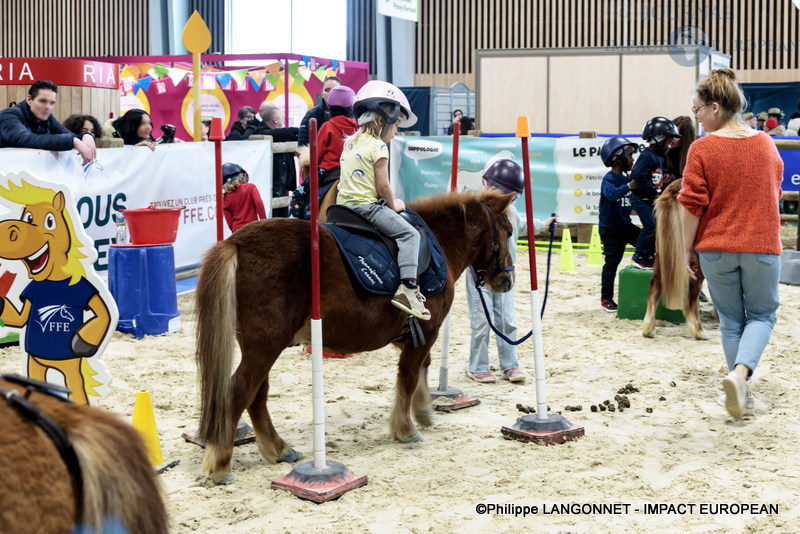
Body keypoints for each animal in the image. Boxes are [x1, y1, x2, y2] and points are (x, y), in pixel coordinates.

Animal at [197, 189, 516, 486]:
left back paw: (278, 449)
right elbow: (409, 376)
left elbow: (421, 370)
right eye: (510, 232)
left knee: (257, 395)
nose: (507, 281)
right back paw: (222, 464)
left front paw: (423, 409)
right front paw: (406, 429)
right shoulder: (427, 331)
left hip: (260, 347)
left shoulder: (418, 334)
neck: (439, 242)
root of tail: (235, 243)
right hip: (265, 347)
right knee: (239, 392)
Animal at [644, 178, 708, 342]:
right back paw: (699, 332)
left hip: (660, 256)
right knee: (692, 294)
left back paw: (649, 329)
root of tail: (674, 190)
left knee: (654, 285)